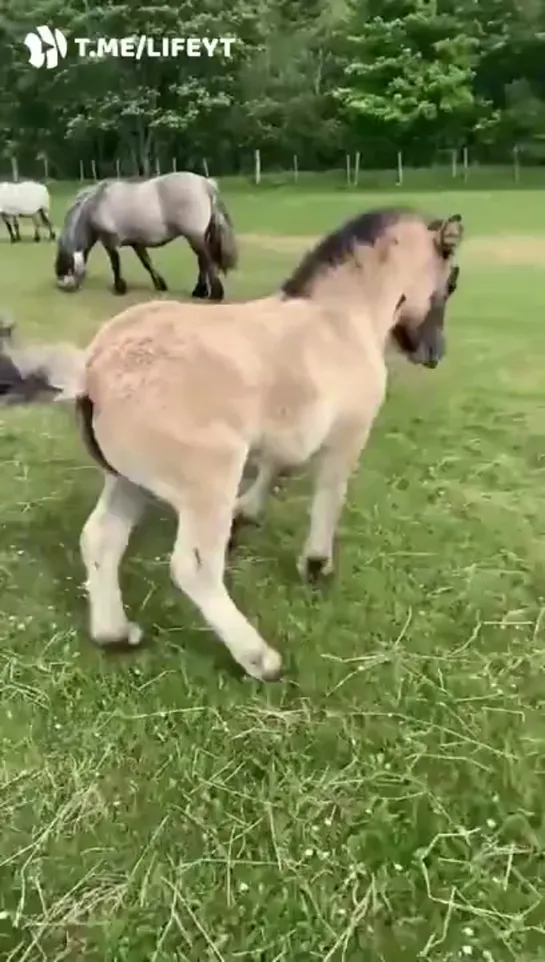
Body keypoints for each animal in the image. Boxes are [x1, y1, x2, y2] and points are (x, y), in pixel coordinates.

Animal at [0, 206, 464, 680]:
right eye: (451, 282)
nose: (434, 353)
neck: (339, 318)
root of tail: (91, 370)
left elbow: (276, 465)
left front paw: (248, 512)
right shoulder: (349, 433)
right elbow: (329, 496)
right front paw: (316, 564)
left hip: (128, 480)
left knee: (100, 539)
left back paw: (115, 633)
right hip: (209, 476)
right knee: (194, 568)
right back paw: (259, 658)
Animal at [53, 171, 238, 300]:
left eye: (65, 265)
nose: (63, 286)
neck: (97, 204)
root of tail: (206, 183)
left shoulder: (109, 241)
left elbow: (116, 264)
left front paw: (119, 288)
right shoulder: (137, 243)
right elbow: (147, 263)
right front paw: (160, 284)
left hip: (194, 236)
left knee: (206, 261)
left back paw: (213, 294)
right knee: (203, 262)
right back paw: (200, 291)